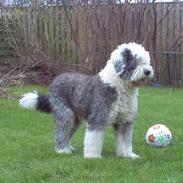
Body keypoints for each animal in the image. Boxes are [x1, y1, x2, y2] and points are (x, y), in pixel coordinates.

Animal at [19, 42, 154, 159]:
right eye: (135, 61)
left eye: (146, 62)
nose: (148, 71)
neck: (119, 86)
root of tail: (55, 80)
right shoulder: (98, 117)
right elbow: (94, 138)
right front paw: (92, 156)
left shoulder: (124, 121)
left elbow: (125, 140)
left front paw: (128, 155)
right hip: (65, 114)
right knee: (61, 132)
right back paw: (62, 150)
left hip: (76, 119)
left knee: (69, 133)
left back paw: (68, 148)